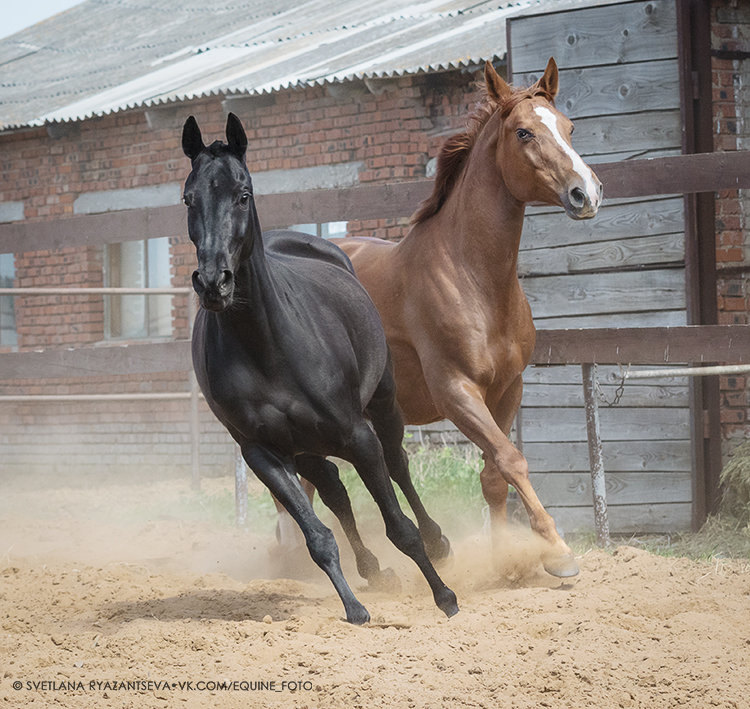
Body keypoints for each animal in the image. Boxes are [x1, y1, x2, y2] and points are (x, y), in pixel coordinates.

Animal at [182, 113, 462, 624]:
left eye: (243, 193)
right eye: (189, 198)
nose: (214, 282)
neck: (267, 347)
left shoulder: (358, 435)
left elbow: (400, 527)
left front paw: (445, 597)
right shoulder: (263, 454)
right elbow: (318, 537)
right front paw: (354, 607)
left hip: (383, 406)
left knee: (398, 466)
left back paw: (439, 542)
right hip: (306, 449)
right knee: (333, 487)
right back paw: (372, 570)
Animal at [280, 56, 604, 576]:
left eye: (569, 127)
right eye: (523, 133)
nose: (586, 193)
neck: (472, 278)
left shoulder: (507, 389)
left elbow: (495, 474)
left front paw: (505, 560)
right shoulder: (456, 391)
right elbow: (511, 460)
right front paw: (557, 552)